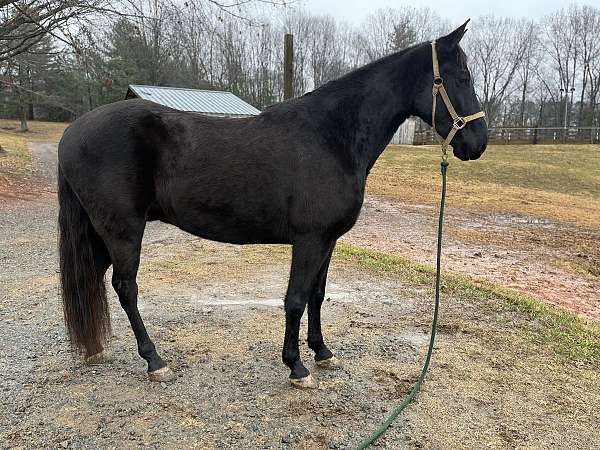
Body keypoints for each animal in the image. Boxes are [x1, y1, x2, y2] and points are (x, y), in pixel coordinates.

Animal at [57, 21, 488, 386]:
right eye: (461, 77)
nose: (478, 143)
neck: (331, 137)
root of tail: (73, 131)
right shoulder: (309, 240)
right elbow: (295, 300)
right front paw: (296, 367)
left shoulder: (328, 240)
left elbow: (317, 295)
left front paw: (323, 352)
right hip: (123, 230)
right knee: (125, 287)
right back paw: (154, 361)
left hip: (103, 232)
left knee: (93, 280)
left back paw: (95, 349)